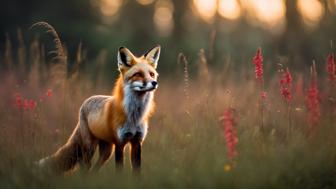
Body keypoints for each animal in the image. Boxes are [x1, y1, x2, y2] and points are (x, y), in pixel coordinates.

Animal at [37, 45, 161, 173]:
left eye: (152, 74)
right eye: (138, 74)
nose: (154, 83)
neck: (134, 116)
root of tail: (88, 99)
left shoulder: (137, 142)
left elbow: (137, 172)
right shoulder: (119, 143)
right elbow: (119, 171)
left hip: (106, 152)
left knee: (94, 169)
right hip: (90, 148)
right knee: (84, 165)